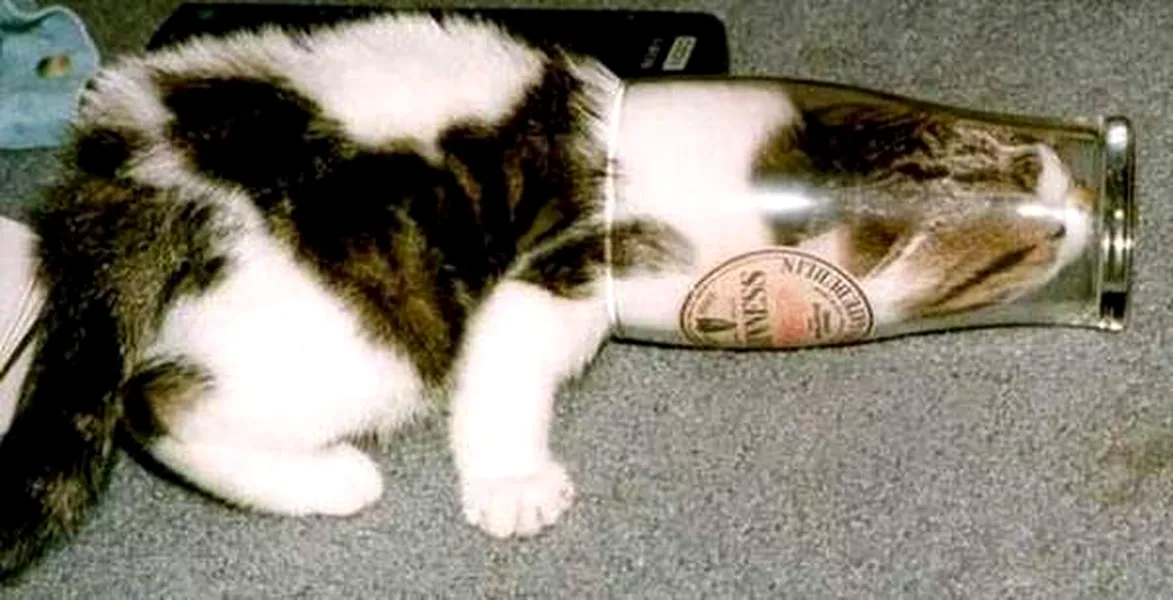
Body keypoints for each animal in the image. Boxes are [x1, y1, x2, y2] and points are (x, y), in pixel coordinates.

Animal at [0, 11, 1093, 583]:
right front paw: (511, 485)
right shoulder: (567, 268)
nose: (1089, 208)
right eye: (1029, 241)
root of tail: (130, 162)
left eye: (1039, 167)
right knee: (159, 400)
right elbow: (501, 376)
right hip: (365, 328)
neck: (768, 172)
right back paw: (328, 480)